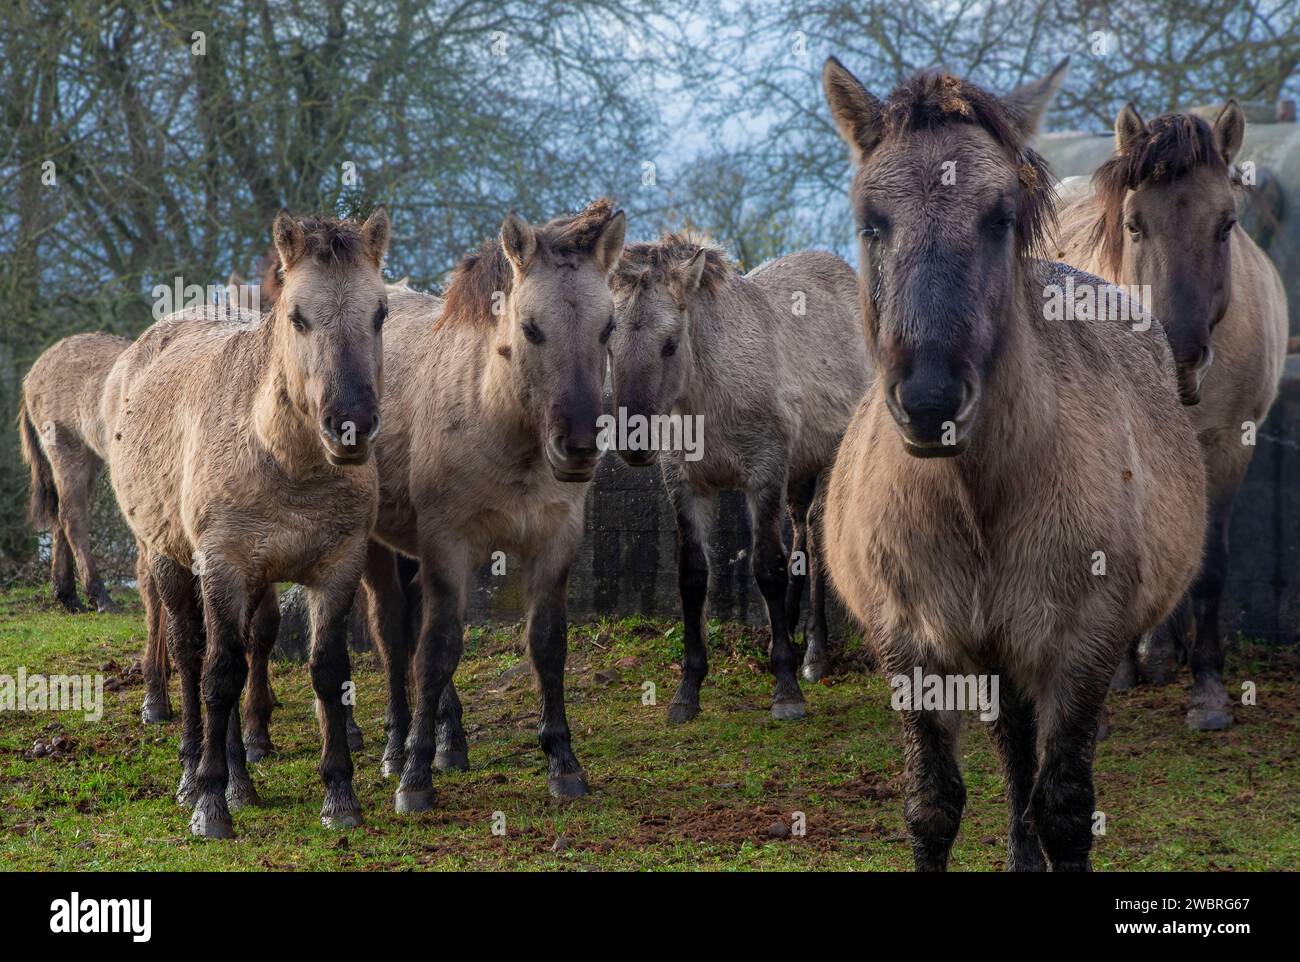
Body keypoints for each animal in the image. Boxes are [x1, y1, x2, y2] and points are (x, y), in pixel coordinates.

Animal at [103, 210, 390, 837]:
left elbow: (327, 670)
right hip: (172, 560)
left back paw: (240, 777)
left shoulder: (337, 566)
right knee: (194, 656)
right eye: (297, 316)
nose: (350, 425)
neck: (284, 460)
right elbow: (218, 675)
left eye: (381, 312)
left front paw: (340, 795)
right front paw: (210, 804)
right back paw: (197, 772)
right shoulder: (223, 566)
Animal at [360, 199, 625, 812]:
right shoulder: (449, 546)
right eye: (531, 328)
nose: (578, 447)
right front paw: (415, 779)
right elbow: (435, 652)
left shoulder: (554, 541)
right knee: (394, 638)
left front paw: (563, 762)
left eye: (608, 327)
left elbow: (546, 644)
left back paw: (449, 743)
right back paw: (397, 749)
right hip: (378, 551)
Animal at [606, 235, 868, 722]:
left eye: (670, 344)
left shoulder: (763, 475)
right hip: (797, 472)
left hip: (827, 461)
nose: (634, 444)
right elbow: (693, 576)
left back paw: (814, 654)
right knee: (800, 533)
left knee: (816, 537)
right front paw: (687, 692)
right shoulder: (686, 485)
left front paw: (786, 689)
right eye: (607, 343)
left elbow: (766, 567)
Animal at [819, 59, 1207, 870]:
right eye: (871, 221)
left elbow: (1062, 808)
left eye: (999, 217)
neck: (977, 500)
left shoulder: (1082, 648)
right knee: (1012, 749)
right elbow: (933, 806)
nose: (931, 400)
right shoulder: (910, 647)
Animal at [1052, 102, 1288, 730]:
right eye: (1134, 225)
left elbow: (1209, 566)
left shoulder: (1229, 446)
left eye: (1226, 224)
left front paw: (1207, 690)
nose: (1180, 355)